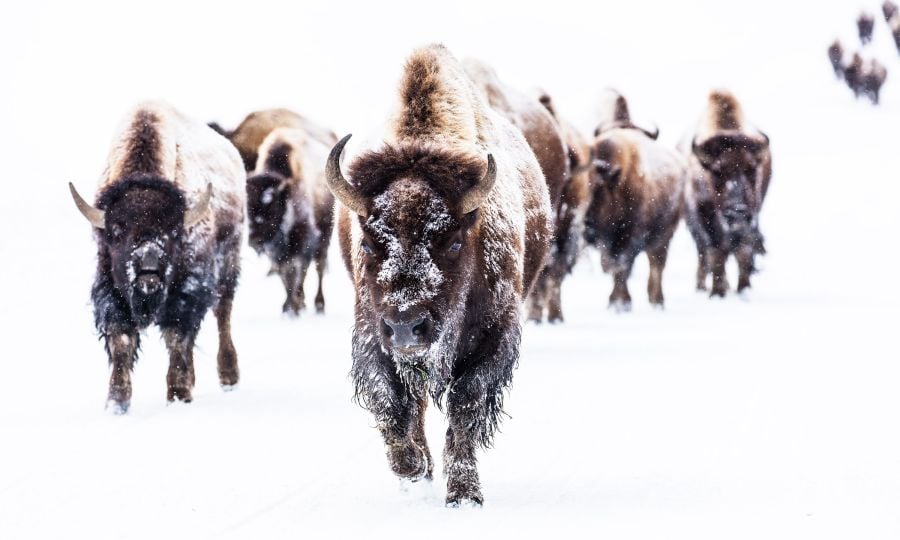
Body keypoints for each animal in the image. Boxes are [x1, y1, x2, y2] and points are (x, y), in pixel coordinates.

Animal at [69, 101, 245, 412]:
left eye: (173, 231)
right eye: (116, 231)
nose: (148, 269)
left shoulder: (186, 293)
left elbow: (177, 338)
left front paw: (178, 395)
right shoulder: (111, 291)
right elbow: (121, 340)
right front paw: (116, 403)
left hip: (229, 263)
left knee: (223, 314)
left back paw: (229, 378)